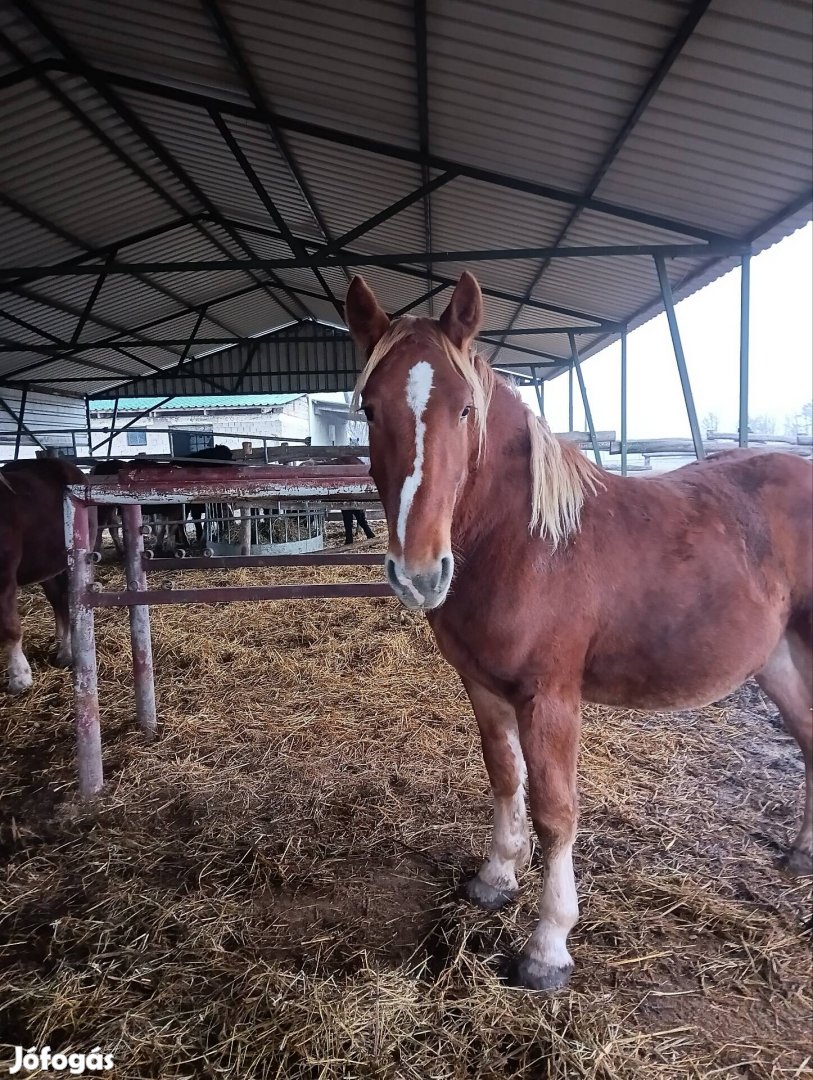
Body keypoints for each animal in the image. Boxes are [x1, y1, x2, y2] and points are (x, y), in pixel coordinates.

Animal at [1, 455, 84, 691]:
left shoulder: (4, 576)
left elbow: (9, 628)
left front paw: (20, 679)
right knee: (57, 601)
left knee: (66, 602)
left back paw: (66, 653)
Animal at [345, 272, 811, 993]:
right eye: (369, 408)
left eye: (463, 410)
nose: (419, 573)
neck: (527, 542)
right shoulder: (483, 687)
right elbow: (504, 777)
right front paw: (495, 877)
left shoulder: (550, 698)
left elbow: (555, 812)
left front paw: (547, 948)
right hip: (781, 658)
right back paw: (799, 855)